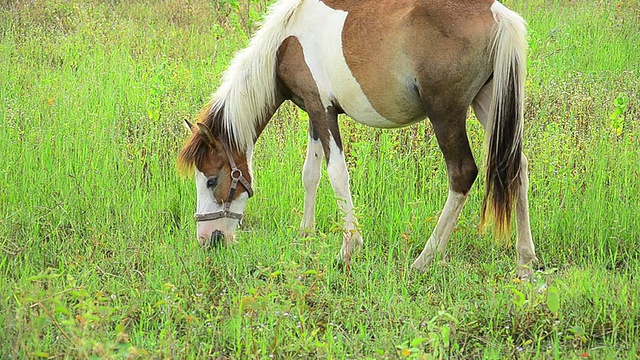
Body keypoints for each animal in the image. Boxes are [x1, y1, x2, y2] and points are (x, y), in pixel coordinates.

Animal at [178, 0, 536, 278]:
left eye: (211, 180)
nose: (207, 240)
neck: (286, 42)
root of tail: (497, 13)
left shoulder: (323, 112)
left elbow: (337, 175)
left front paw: (349, 248)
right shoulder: (315, 113)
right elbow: (311, 174)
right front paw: (306, 234)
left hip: (446, 114)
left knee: (462, 174)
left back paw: (424, 259)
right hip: (490, 103)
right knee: (516, 166)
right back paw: (525, 262)